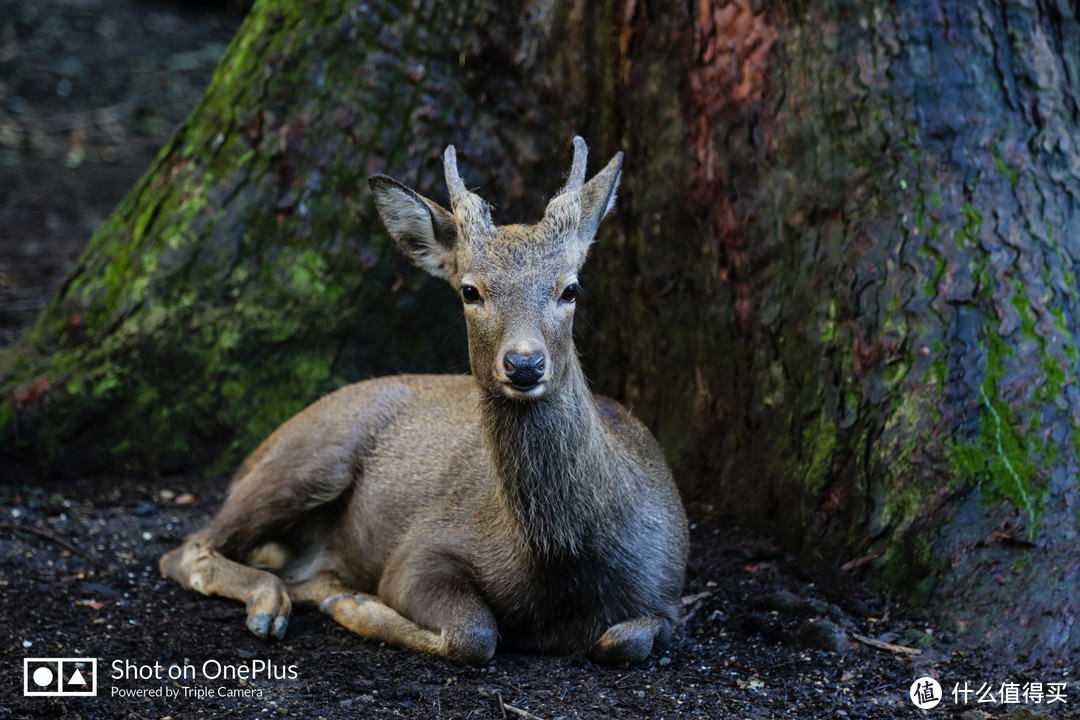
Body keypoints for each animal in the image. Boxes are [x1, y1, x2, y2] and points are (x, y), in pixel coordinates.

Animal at [157, 134, 686, 664]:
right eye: (470, 290)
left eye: (570, 288)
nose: (524, 364)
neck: (560, 570)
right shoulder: (422, 548)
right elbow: (473, 633)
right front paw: (355, 606)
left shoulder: (670, 591)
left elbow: (625, 639)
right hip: (309, 457)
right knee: (187, 548)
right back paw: (275, 604)